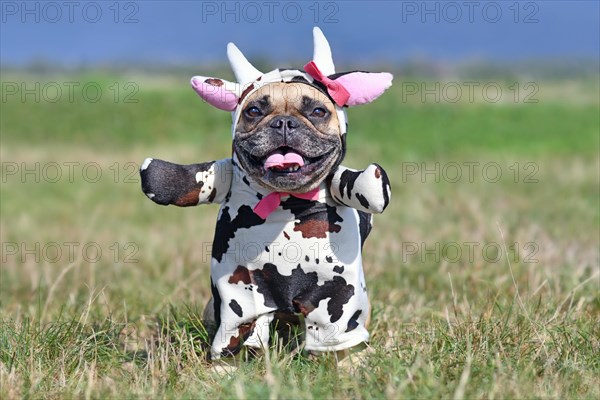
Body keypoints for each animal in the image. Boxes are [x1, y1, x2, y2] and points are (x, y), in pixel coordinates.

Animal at [141, 26, 394, 360]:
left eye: (318, 111)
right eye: (253, 110)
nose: (284, 122)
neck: (285, 201)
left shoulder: (336, 295)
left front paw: (349, 362)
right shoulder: (237, 288)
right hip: (239, 299)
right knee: (242, 325)